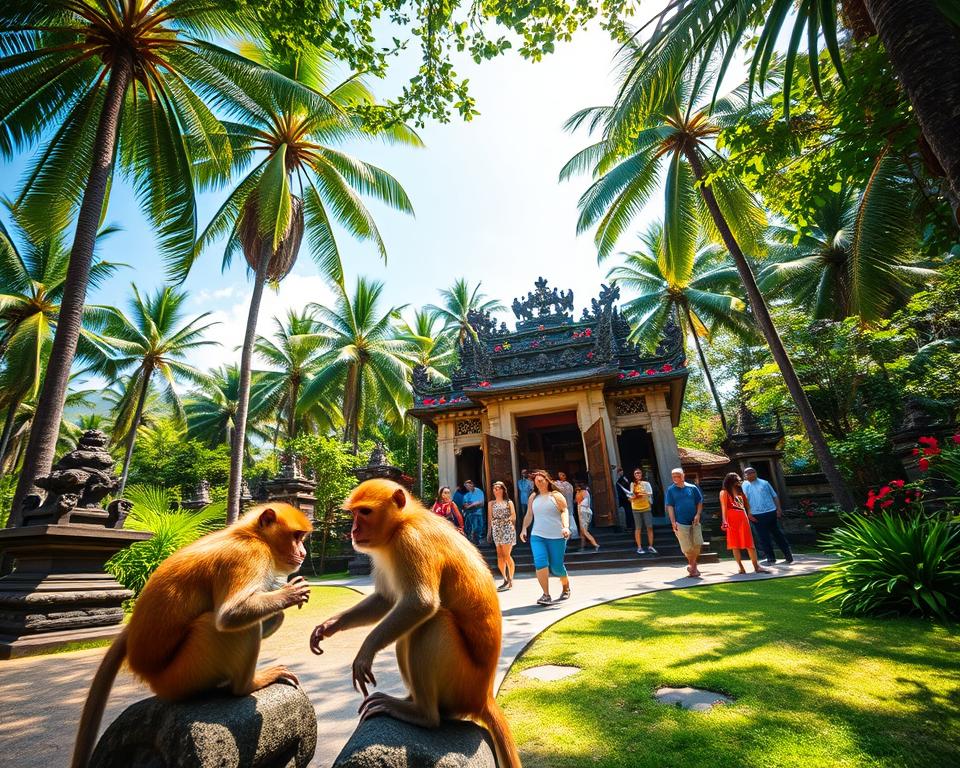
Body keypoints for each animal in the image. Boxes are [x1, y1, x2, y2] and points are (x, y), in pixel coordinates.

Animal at [70, 503, 313, 768]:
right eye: (296, 537)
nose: (303, 553)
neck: (251, 535)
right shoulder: (248, 556)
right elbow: (230, 615)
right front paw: (291, 593)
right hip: (186, 672)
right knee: (221, 625)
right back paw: (246, 685)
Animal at [309, 479, 522, 768]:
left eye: (365, 512)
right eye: (353, 513)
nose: (353, 530)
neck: (405, 521)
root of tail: (483, 697)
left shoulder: (411, 541)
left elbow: (420, 604)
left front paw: (364, 653)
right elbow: (386, 600)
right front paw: (329, 626)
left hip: (461, 683)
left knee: (434, 621)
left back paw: (422, 714)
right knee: (408, 633)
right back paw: (411, 700)